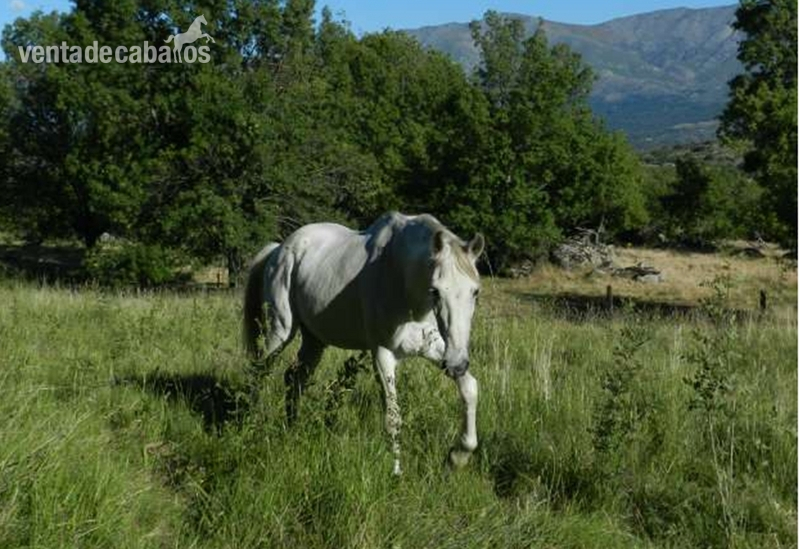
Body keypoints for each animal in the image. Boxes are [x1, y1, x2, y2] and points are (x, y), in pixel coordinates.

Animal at [243, 212, 484, 475]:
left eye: (475, 292)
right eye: (436, 291)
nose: (456, 364)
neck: (402, 280)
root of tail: (279, 249)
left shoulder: (433, 348)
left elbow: (470, 388)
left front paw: (457, 457)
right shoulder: (382, 353)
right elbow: (392, 416)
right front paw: (396, 473)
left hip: (314, 340)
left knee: (293, 378)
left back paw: (292, 429)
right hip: (279, 331)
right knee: (259, 372)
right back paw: (251, 425)